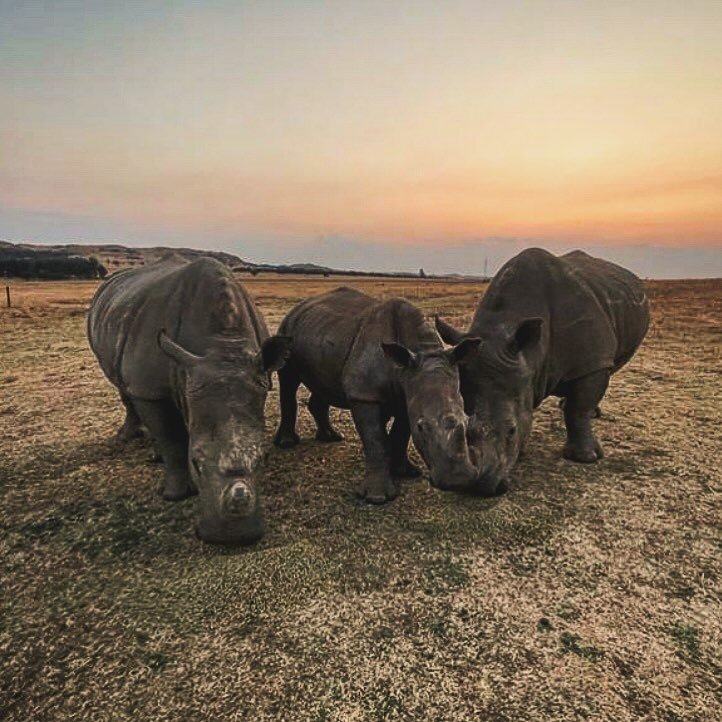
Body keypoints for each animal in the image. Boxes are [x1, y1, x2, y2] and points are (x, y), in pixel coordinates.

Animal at [89, 256, 290, 544]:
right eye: (196, 463)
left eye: (263, 458)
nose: (234, 538)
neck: (222, 345)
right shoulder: (150, 388)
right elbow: (171, 438)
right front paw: (174, 495)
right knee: (124, 387)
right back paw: (128, 439)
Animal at [272, 286, 480, 500]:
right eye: (421, 427)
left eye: (467, 421)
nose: (458, 479)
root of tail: (299, 306)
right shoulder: (364, 395)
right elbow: (376, 440)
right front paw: (376, 497)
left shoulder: (407, 394)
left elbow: (400, 434)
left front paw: (406, 472)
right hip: (287, 331)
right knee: (288, 380)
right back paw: (287, 443)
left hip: (320, 334)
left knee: (322, 383)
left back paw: (331, 437)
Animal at [436, 249, 648, 496]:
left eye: (511, 430)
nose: (477, 486)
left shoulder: (592, 360)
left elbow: (578, 409)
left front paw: (584, 458)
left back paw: (590, 413)